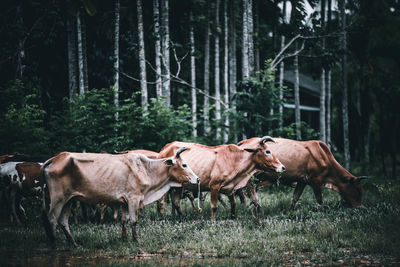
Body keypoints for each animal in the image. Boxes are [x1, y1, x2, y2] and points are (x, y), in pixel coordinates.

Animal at [40, 148, 200, 248]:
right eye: (184, 164)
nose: (197, 179)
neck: (146, 169)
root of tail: (53, 159)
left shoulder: (124, 202)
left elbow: (124, 220)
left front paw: (124, 238)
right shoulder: (134, 198)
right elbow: (134, 221)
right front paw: (136, 239)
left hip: (69, 200)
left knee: (63, 221)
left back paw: (73, 243)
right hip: (58, 199)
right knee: (52, 219)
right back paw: (55, 243)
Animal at [156, 137, 284, 221]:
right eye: (267, 151)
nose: (282, 167)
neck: (234, 160)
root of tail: (165, 147)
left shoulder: (231, 188)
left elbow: (233, 204)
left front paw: (233, 218)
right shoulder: (214, 186)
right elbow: (214, 206)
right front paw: (212, 222)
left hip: (178, 186)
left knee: (176, 202)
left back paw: (182, 217)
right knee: (161, 202)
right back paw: (163, 217)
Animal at [236, 138, 368, 209]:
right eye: (357, 189)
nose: (359, 206)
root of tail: (243, 142)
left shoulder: (302, 181)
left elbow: (295, 197)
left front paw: (290, 211)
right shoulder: (316, 180)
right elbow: (319, 199)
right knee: (247, 191)